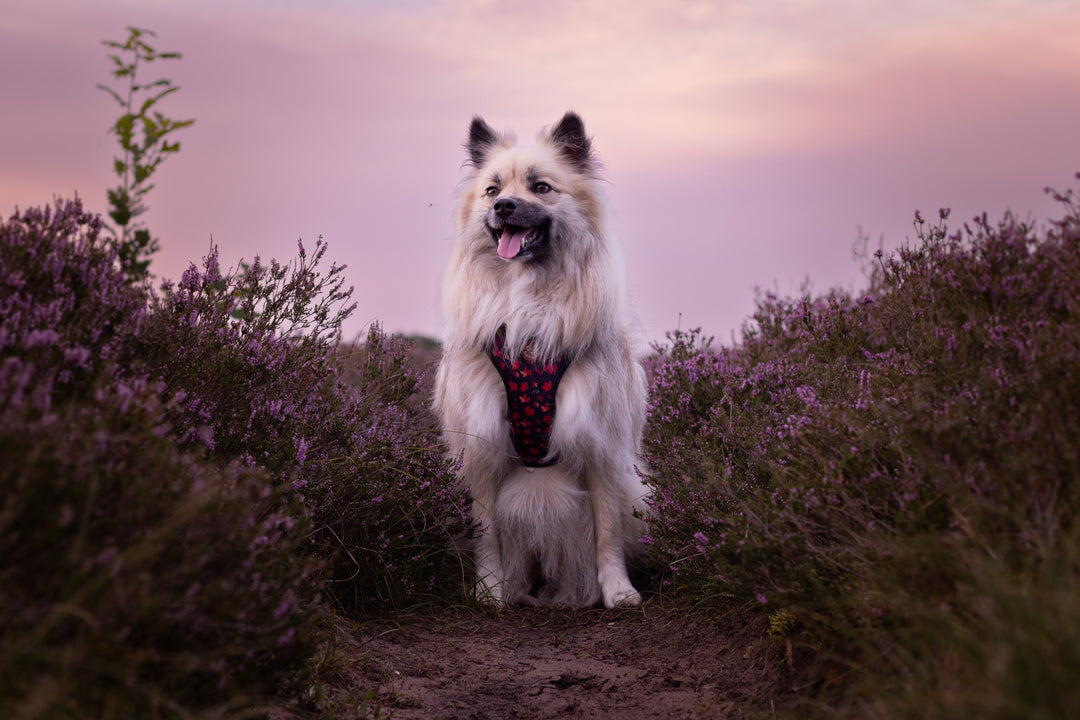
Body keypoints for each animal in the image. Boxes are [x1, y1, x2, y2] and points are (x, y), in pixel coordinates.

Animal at [432, 112, 648, 608]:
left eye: (541, 187)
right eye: (492, 189)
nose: (504, 206)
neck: (526, 300)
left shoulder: (599, 439)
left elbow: (608, 533)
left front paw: (617, 591)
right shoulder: (482, 445)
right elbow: (486, 534)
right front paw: (490, 591)